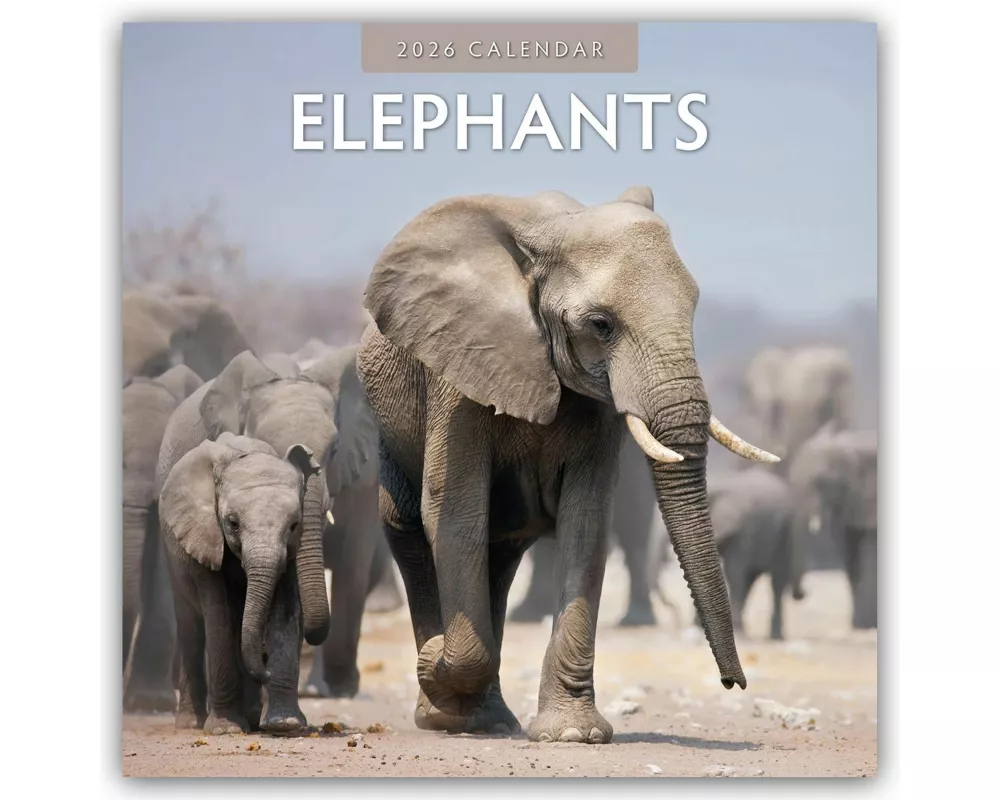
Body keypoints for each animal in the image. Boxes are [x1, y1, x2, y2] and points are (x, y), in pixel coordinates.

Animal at [159, 432, 319, 734]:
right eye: (232, 523)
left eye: (294, 525)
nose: (265, 671)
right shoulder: (204, 535)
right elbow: (219, 616)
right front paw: (225, 729)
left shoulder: (291, 553)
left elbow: (285, 612)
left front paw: (285, 724)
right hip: (174, 563)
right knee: (192, 630)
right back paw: (190, 723)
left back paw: (253, 718)